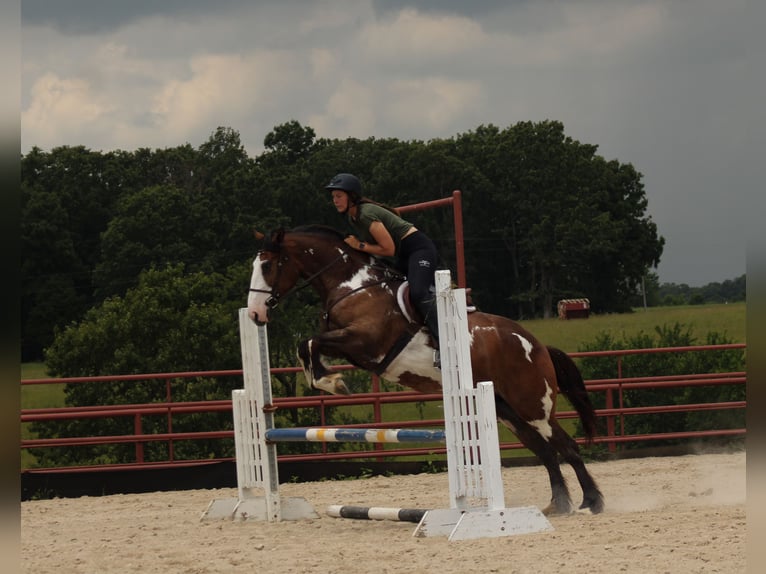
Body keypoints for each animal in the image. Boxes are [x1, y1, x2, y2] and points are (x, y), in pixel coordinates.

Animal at [247, 225, 605, 515]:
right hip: (507, 411)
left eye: (266, 265)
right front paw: (330, 379)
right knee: (546, 451)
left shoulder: (365, 341)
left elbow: (309, 342)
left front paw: (333, 381)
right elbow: (307, 345)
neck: (353, 284)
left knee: (566, 446)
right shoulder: (355, 349)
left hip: (532, 405)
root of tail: (537, 343)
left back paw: (592, 501)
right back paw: (558, 505)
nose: (254, 314)